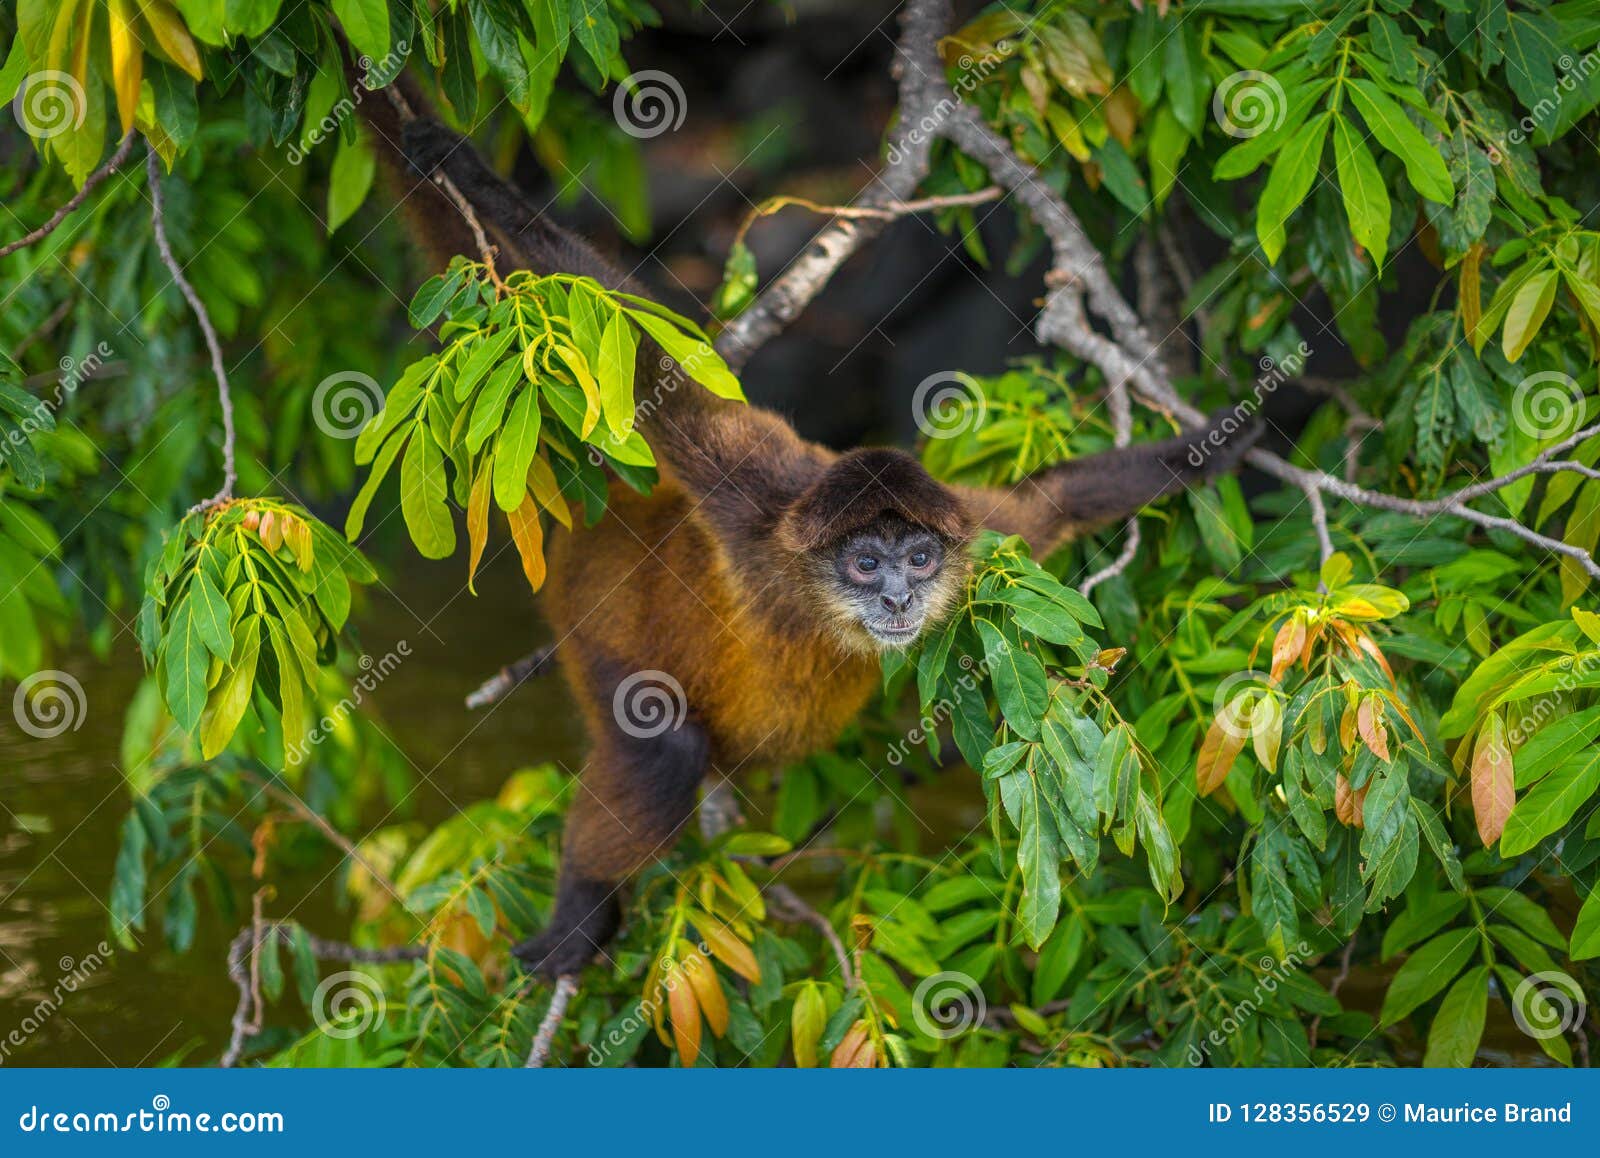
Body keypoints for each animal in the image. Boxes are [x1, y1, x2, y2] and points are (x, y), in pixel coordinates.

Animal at [356, 85, 1254, 972]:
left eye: (918, 560)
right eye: (865, 565)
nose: (898, 600)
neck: (816, 602)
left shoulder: (974, 529)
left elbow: (1058, 501)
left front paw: (1230, 434)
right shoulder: (754, 500)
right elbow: (653, 370)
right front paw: (473, 174)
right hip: (597, 622)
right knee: (660, 745)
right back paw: (581, 913)